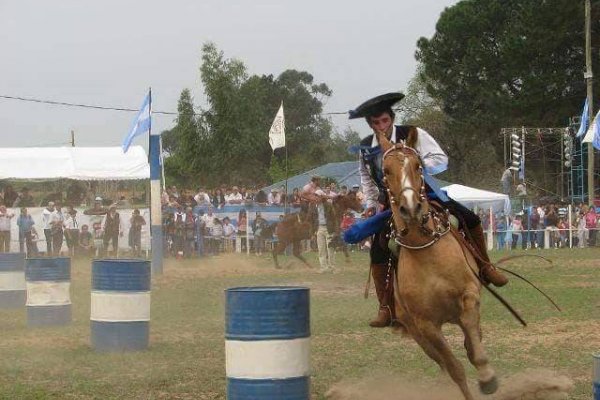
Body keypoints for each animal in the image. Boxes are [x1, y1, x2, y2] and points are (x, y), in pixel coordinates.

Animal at [378, 132, 500, 400]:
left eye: (418, 166)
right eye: (386, 170)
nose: (410, 207)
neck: (426, 251)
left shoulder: (469, 295)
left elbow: (473, 342)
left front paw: (487, 375)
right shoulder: (426, 326)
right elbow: (455, 369)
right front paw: (483, 380)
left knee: (471, 339)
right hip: (418, 333)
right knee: (445, 363)